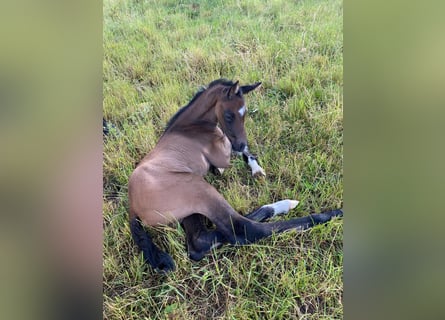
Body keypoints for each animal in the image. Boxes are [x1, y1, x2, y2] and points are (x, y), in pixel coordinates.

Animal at [128, 79, 344, 272]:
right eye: (229, 115)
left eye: (245, 114)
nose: (241, 142)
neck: (189, 127)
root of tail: (132, 207)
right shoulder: (222, 153)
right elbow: (234, 152)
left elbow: (244, 153)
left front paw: (256, 169)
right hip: (197, 186)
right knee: (243, 229)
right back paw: (321, 212)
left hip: (190, 210)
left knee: (201, 241)